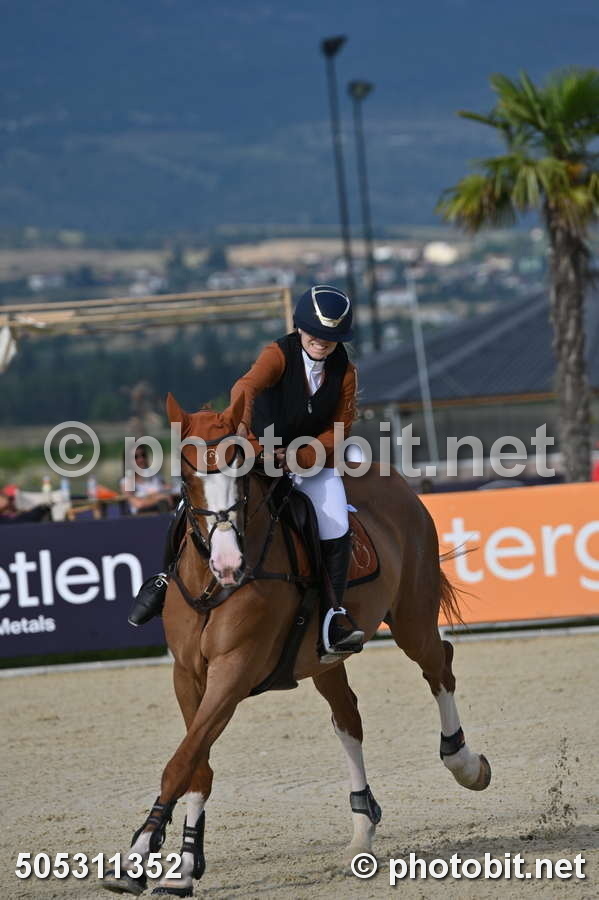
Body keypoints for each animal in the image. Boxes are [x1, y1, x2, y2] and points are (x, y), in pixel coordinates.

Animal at [102, 393, 491, 897]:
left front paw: (137, 856)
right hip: (324, 660)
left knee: (438, 665)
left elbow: (182, 761)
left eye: (239, 474)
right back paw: (363, 828)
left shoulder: (233, 671)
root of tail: (398, 483)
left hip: (410, 620)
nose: (228, 564)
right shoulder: (187, 675)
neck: (213, 583)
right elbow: (196, 766)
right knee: (348, 719)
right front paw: (184, 866)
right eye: (187, 477)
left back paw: (465, 764)